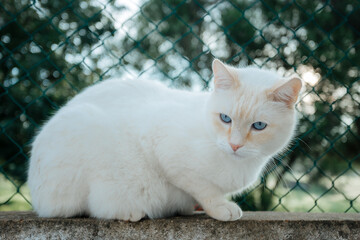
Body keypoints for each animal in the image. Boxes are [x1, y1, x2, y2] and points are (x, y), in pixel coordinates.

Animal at [28, 59, 302, 221]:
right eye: (225, 118)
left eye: (259, 126)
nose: (235, 145)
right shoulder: (167, 154)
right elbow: (205, 189)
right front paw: (220, 208)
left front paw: (192, 207)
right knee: (87, 208)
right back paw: (130, 213)